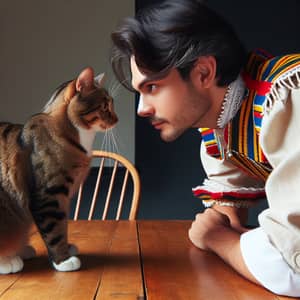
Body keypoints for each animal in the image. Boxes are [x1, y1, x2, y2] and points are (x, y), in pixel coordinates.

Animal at [0, 67, 118, 274]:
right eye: (105, 107)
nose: (117, 119)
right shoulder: (49, 195)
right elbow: (55, 230)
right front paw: (63, 260)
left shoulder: (64, 198)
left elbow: (63, 226)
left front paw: (67, 248)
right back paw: (8, 260)